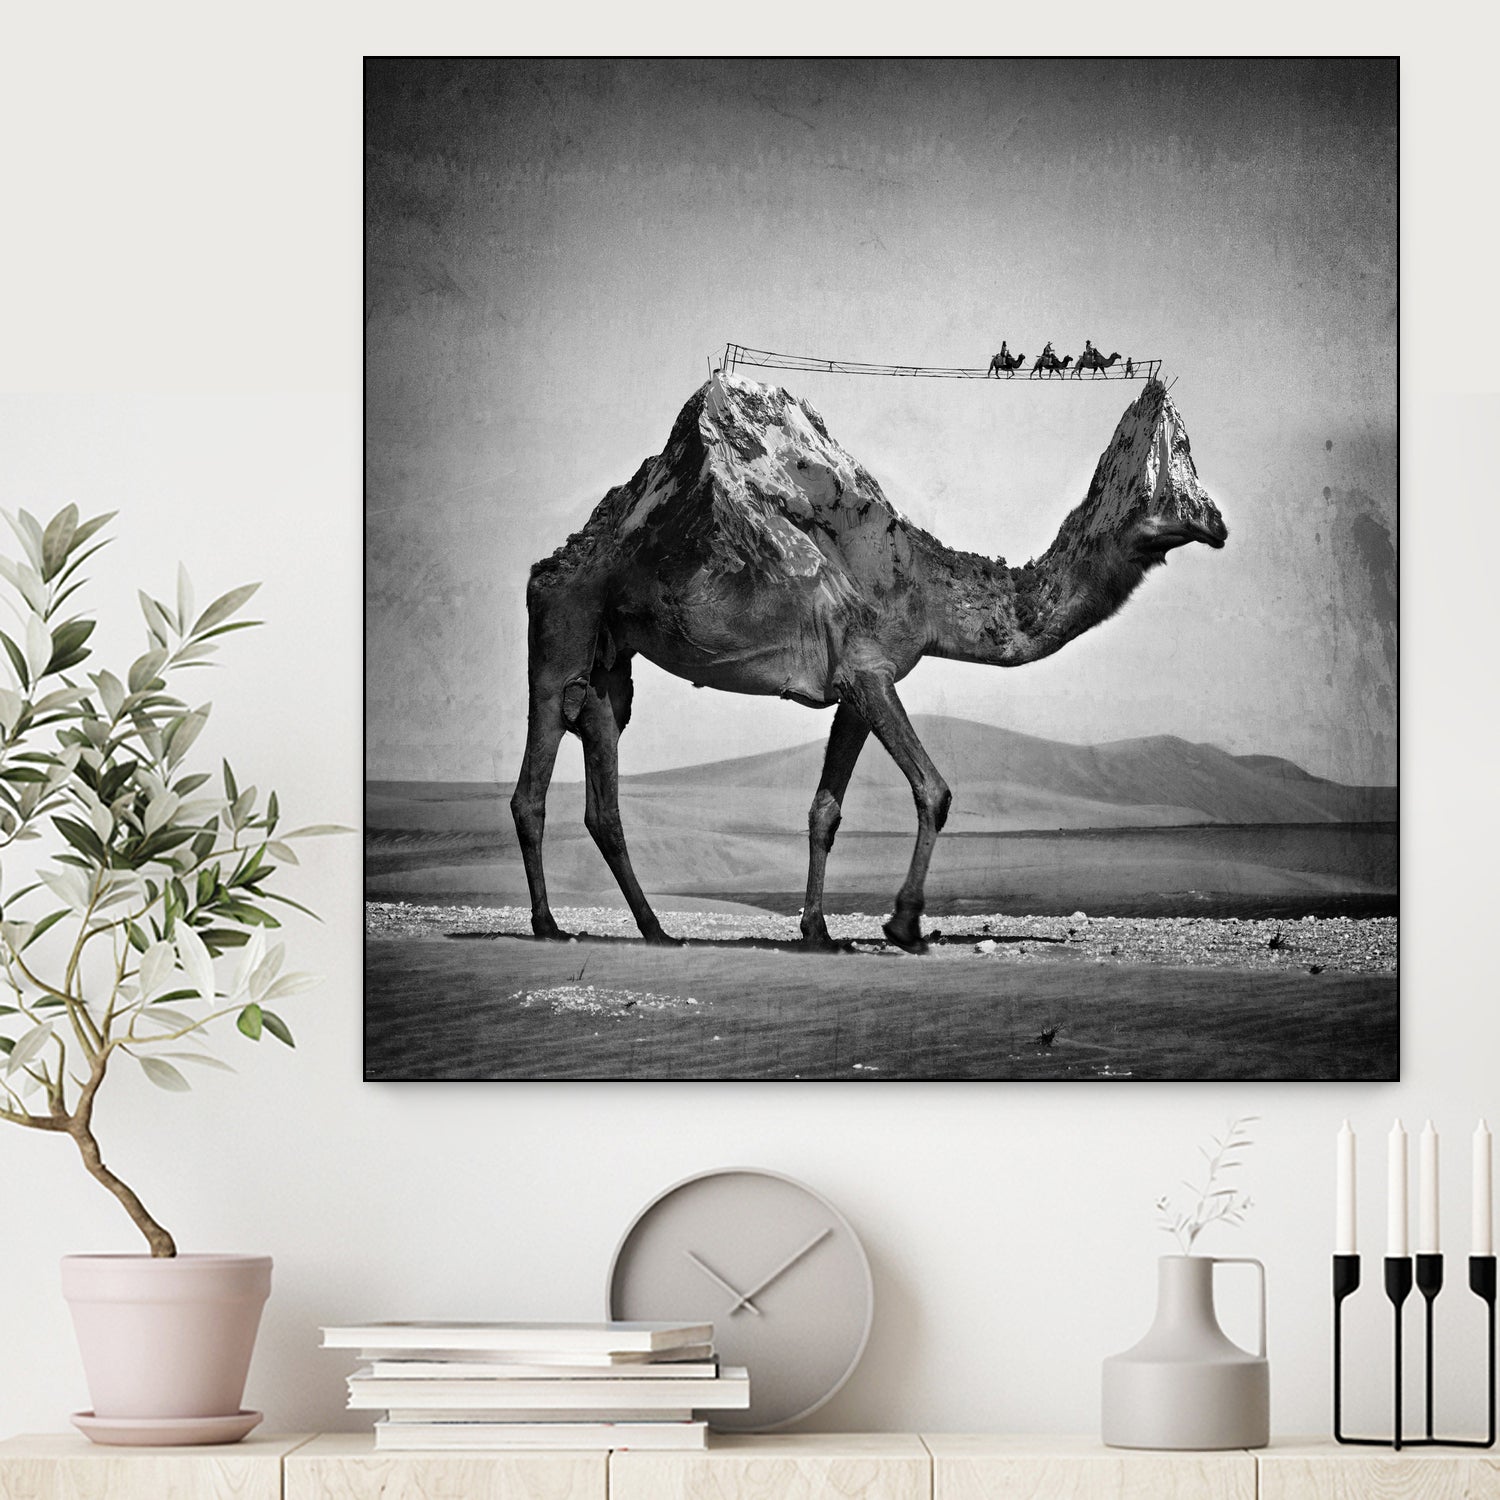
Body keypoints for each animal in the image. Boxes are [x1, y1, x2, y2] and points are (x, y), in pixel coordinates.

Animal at [512, 373, 1227, 952]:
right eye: (1177, 469)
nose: (1220, 523)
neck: (924, 589)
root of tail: (549, 564)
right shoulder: (870, 673)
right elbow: (934, 790)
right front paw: (903, 924)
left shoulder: (855, 689)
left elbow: (825, 811)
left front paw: (819, 931)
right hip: (563, 629)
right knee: (533, 783)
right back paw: (550, 926)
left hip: (610, 660)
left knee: (602, 787)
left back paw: (656, 929)